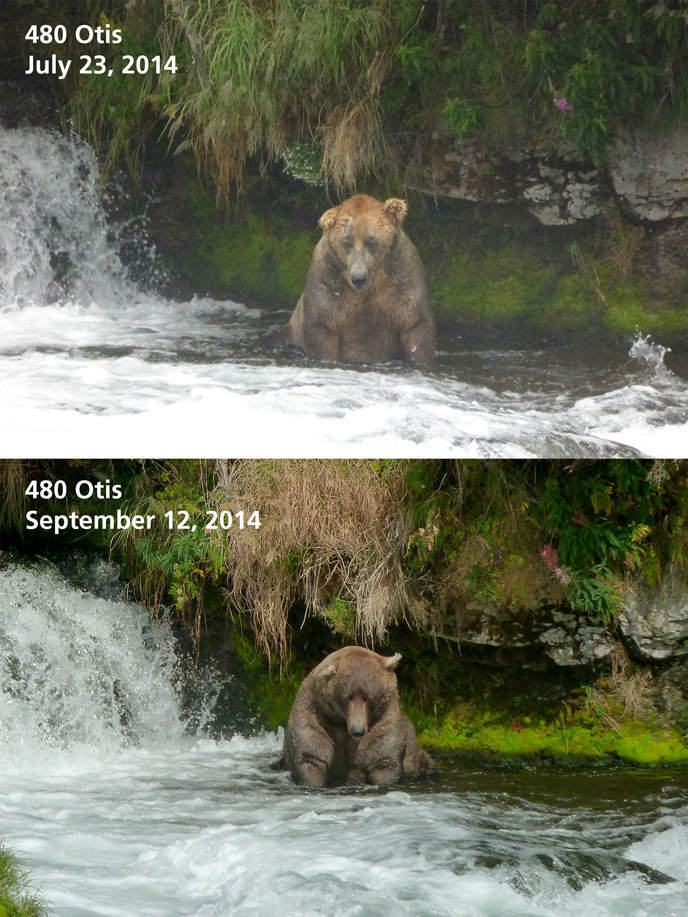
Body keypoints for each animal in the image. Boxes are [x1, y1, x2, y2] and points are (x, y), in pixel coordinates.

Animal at [272, 195, 432, 364]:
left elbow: (416, 327)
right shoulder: (328, 282)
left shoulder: (402, 279)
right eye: (346, 243)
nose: (358, 278)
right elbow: (321, 327)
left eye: (371, 241)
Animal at [280, 644, 436, 788]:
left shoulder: (386, 719)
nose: (357, 730)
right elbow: (311, 757)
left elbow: (384, 758)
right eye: (347, 697)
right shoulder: (316, 715)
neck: (342, 724)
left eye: (369, 697)